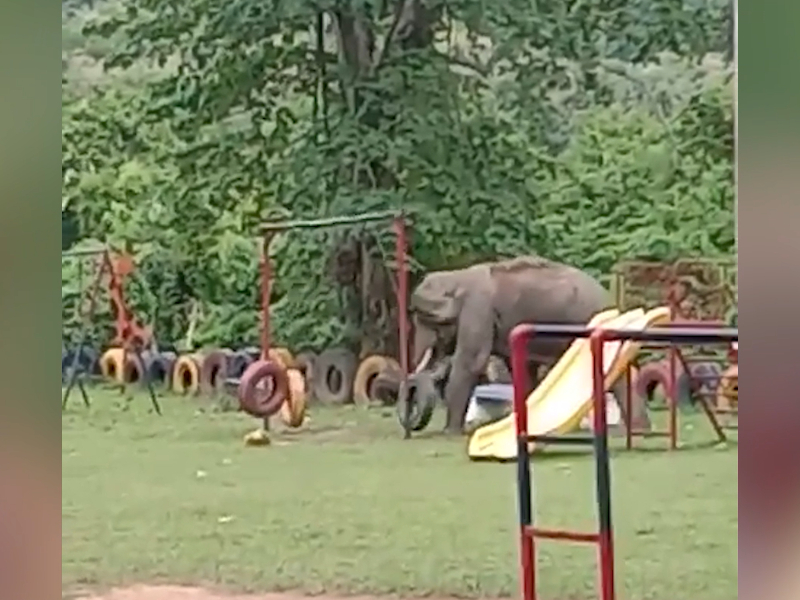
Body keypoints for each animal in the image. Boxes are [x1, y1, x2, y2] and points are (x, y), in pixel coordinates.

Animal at [410, 255, 648, 434]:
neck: (458, 275)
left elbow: (471, 361)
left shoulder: (478, 309)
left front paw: (450, 432)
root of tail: (610, 300)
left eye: (425, 319)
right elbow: (520, 369)